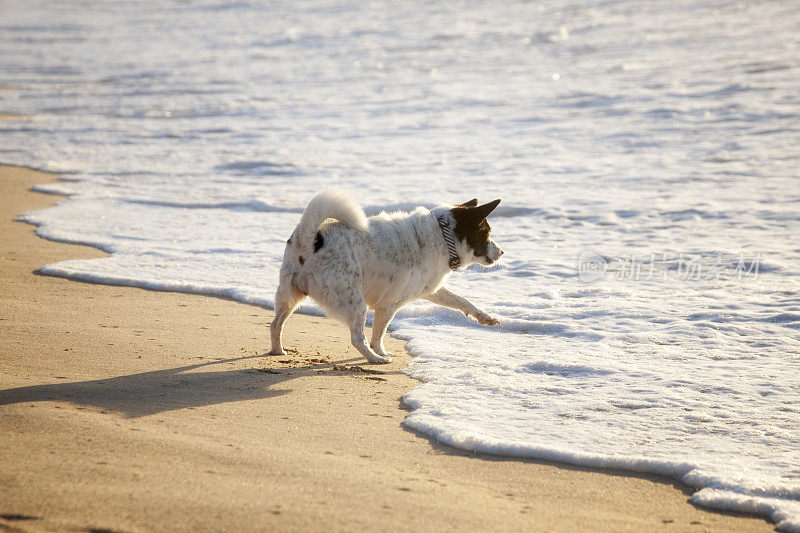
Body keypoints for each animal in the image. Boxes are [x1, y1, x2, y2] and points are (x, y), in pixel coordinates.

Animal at [272, 190, 504, 362]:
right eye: (487, 233)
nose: (501, 252)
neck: (441, 236)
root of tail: (310, 238)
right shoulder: (389, 305)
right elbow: (379, 334)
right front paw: (381, 352)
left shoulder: (430, 290)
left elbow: (462, 301)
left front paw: (485, 317)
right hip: (354, 302)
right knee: (357, 338)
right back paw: (375, 359)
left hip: (289, 296)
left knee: (276, 324)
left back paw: (277, 350)